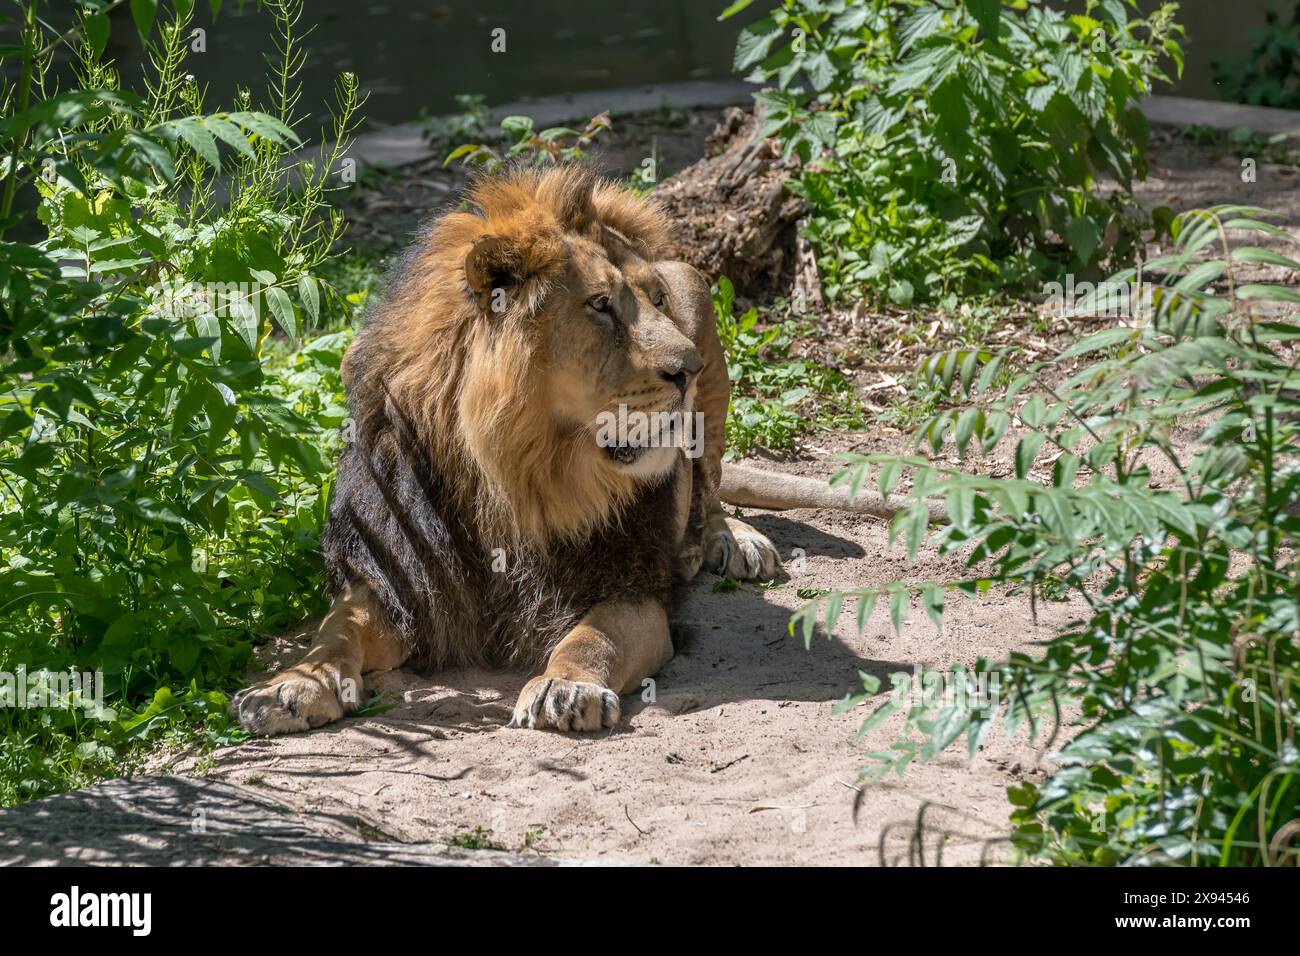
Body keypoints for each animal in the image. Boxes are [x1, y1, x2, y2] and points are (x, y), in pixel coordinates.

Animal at [231, 164, 904, 738]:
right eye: (601, 305)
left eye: (655, 300)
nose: (684, 367)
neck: (519, 473)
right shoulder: (400, 575)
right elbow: (335, 632)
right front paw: (291, 685)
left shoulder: (631, 584)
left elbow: (590, 637)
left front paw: (566, 687)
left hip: (704, 317)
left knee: (708, 487)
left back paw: (730, 541)